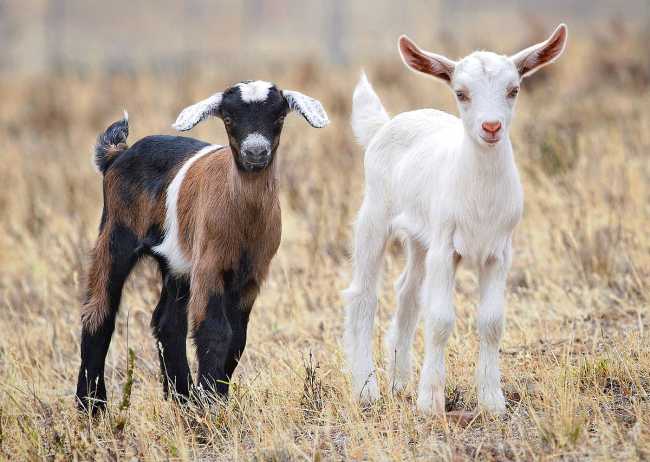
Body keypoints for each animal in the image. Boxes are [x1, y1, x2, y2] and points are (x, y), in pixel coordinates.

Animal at [76, 80, 328, 413]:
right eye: (229, 119)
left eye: (279, 117)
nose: (255, 151)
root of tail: (118, 155)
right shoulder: (209, 264)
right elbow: (215, 330)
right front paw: (211, 403)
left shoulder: (252, 275)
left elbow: (237, 338)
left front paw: (213, 397)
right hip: (116, 234)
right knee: (98, 313)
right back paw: (92, 406)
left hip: (177, 263)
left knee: (167, 323)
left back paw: (181, 398)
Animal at [343, 25, 567, 414]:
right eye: (461, 93)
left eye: (513, 90)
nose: (491, 126)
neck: (480, 196)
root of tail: (383, 126)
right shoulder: (446, 248)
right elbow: (440, 320)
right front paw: (431, 401)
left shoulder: (498, 253)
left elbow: (492, 323)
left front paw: (492, 400)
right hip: (374, 216)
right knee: (364, 296)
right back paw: (366, 389)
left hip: (420, 239)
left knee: (407, 293)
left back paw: (399, 381)